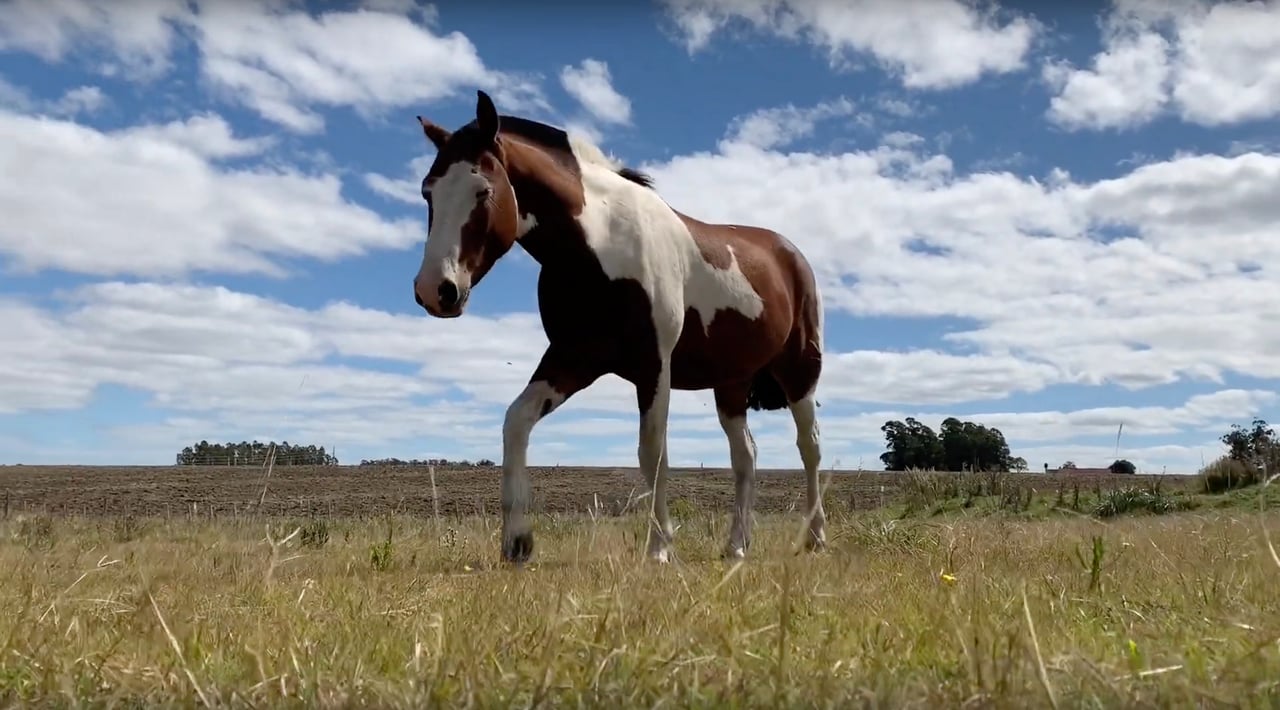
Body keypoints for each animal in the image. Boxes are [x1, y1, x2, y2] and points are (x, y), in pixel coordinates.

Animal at [414, 90, 824, 568]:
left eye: (482, 190)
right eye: (428, 192)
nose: (434, 290)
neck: (602, 245)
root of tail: (790, 253)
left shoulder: (654, 366)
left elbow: (653, 453)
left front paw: (660, 548)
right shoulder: (572, 359)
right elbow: (516, 422)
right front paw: (517, 541)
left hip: (799, 372)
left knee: (809, 447)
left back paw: (815, 537)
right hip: (732, 383)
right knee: (746, 457)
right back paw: (736, 546)